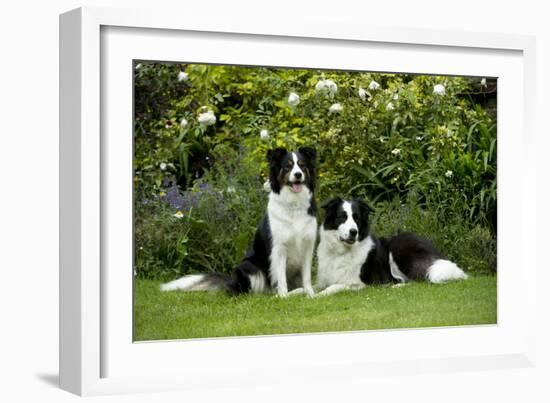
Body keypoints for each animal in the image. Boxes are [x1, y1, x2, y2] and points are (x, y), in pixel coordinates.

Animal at [161, 148, 320, 296]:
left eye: (302, 165)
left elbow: (307, 277)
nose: (298, 175)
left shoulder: (307, 247)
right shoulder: (278, 248)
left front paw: (310, 295)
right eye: (287, 167)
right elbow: (280, 277)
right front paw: (283, 296)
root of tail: (231, 280)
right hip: (249, 266)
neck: (294, 204)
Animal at [316, 198, 468, 296]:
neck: (340, 252)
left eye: (357, 218)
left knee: (421, 281)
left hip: (398, 249)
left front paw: (319, 295)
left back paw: (397, 285)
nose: (354, 232)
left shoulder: (361, 283)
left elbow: (335, 286)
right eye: (342, 217)